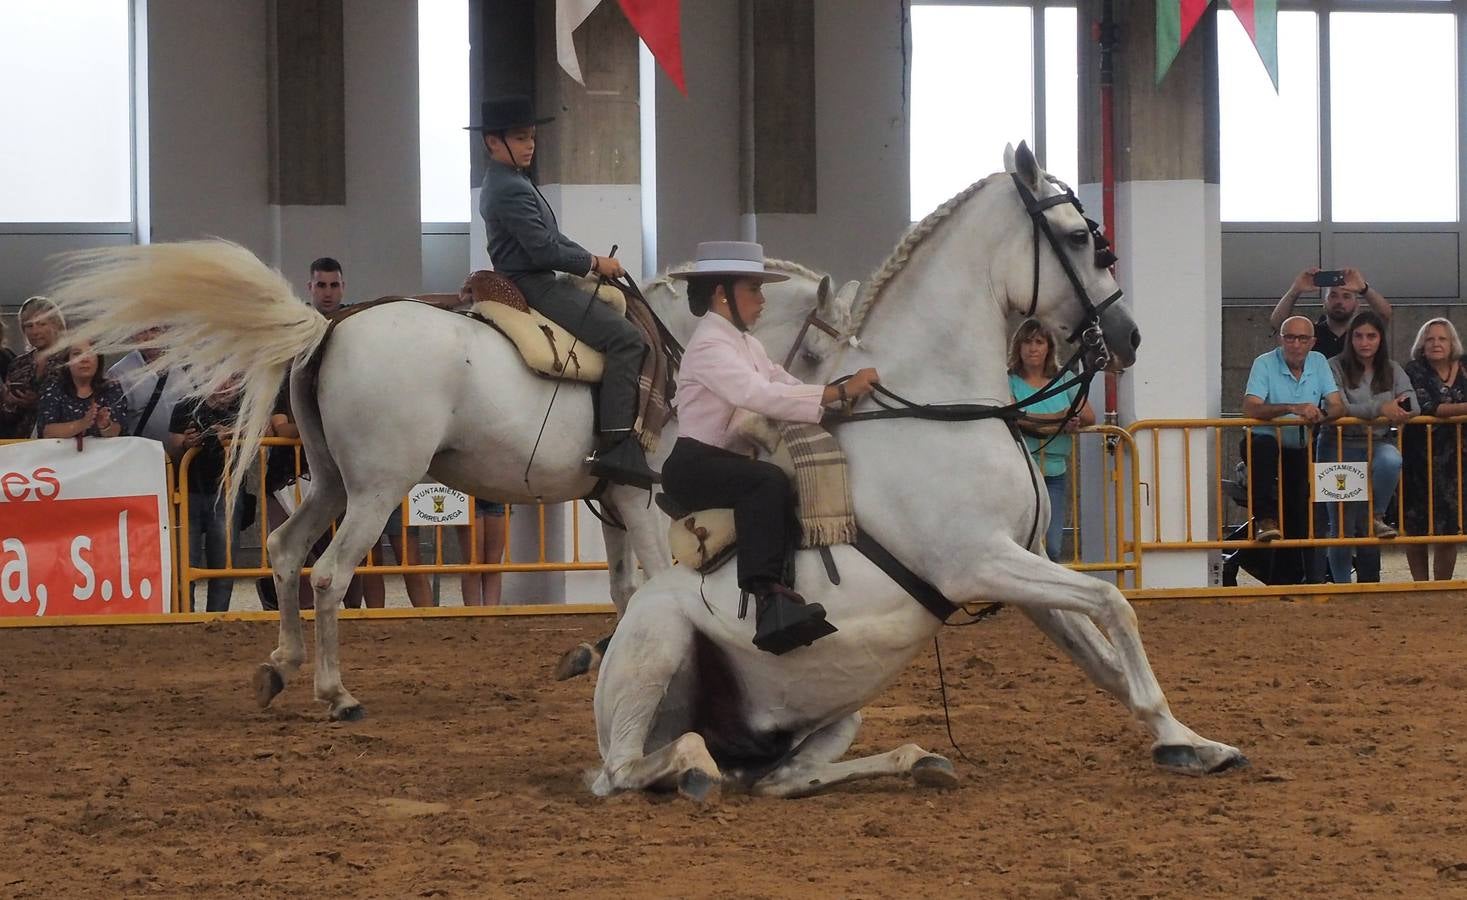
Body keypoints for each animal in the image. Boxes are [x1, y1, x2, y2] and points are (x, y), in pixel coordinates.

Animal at [589, 142, 1244, 798]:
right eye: (1080, 237)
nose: (1127, 336)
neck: (941, 410)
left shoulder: (1029, 564)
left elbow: (1104, 661)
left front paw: (1192, 742)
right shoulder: (981, 563)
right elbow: (1113, 604)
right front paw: (1179, 738)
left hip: (831, 718)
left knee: (782, 778)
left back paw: (919, 760)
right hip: (659, 645)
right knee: (628, 769)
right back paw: (695, 768)